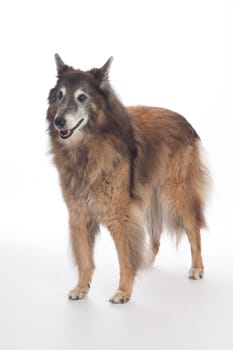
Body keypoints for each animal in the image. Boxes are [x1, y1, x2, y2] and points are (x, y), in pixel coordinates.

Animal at [46, 54, 208, 304]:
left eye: (82, 97)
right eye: (60, 95)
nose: (59, 121)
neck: (88, 147)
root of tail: (183, 119)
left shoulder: (119, 214)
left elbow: (124, 258)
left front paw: (123, 291)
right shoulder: (79, 213)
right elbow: (84, 258)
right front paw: (82, 287)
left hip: (177, 193)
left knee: (193, 229)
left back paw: (197, 267)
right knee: (155, 233)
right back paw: (147, 261)